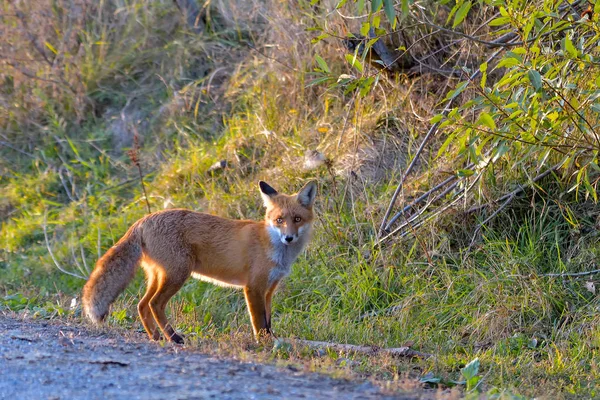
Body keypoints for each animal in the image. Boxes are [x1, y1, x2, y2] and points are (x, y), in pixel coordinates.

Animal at [83, 180, 318, 342]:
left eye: (297, 219)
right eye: (279, 220)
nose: (288, 238)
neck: (272, 246)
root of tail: (144, 220)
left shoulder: (269, 290)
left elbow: (268, 322)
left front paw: (272, 341)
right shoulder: (253, 288)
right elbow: (259, 323)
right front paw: (264, 345)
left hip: (160, 276)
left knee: (142, 305)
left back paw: (156, 337)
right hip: (178, 274)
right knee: (154, 304)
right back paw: (173, 337)